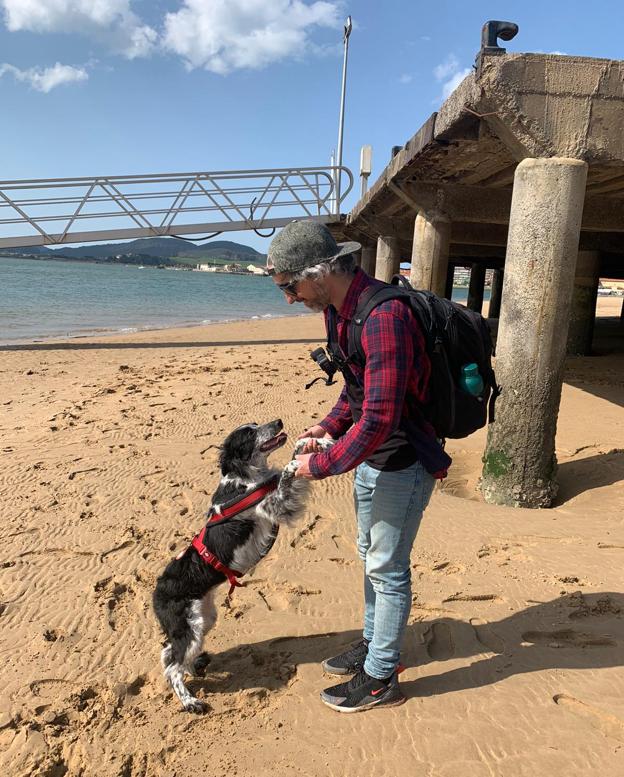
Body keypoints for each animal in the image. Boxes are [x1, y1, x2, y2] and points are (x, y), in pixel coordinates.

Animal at [152, 418, 332, 708]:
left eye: (257, 424)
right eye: (249, 433)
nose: (279, 421)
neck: (245, 480)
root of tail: (156, 593)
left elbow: (295, 452)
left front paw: (318, 442)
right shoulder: (274, 506)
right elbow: (286, 473)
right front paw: (296, 464)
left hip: (202, 620)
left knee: (169, 653)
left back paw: (194, 668)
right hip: (189, 626)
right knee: (172, 668)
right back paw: (190, 701)